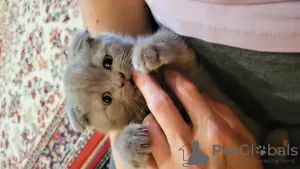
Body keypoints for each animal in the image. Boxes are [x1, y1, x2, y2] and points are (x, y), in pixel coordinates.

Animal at [63, 28, 288, 168]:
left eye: (107, 62)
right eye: (106, 99)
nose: (121, 80)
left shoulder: (184, 60)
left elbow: (164, 41)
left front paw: (146, 51)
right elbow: (122, 147)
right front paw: (130, 142)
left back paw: (278, 142)